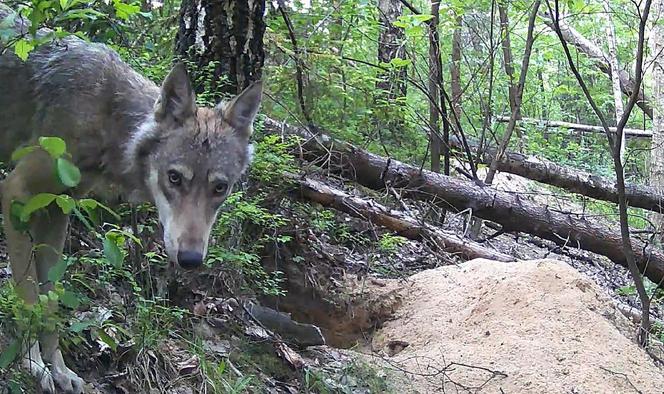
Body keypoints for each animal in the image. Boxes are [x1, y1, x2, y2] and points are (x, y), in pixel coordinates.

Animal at [0, 4, 264, 392]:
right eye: (174, 178)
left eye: (220, 188)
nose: (190, 260)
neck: (107, 116)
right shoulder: (17, 194)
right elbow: (29, 295)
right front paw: (33, 365)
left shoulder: (57, 210)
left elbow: (50, 303)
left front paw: (59, 369)